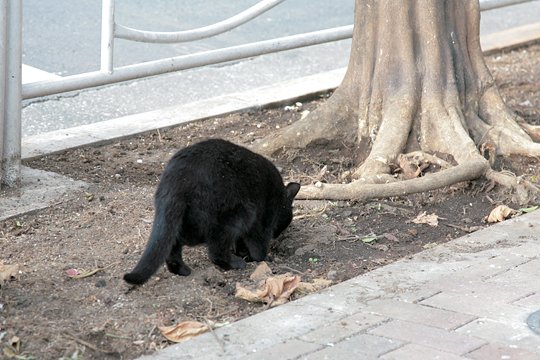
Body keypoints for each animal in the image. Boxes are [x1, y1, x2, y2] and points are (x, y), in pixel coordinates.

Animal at [123, 139, 300, 286]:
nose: (277, 235)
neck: (279, 197)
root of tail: (176, 179)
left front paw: (243, 252)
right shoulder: (262, 221)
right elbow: (258, 247)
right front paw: (262, 258)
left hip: (185, 220)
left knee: (173, 243)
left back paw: (181, 270)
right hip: (239, 214)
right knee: (216, 249)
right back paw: (234, 263)